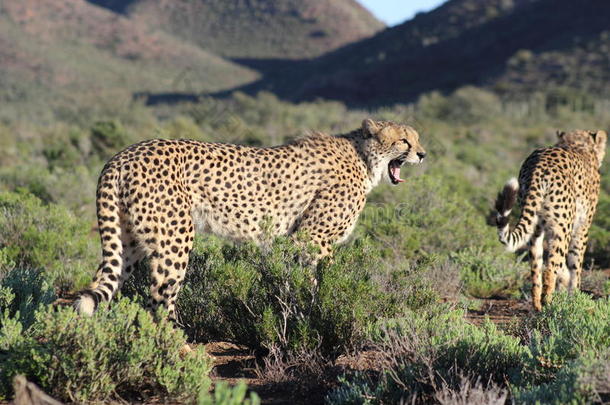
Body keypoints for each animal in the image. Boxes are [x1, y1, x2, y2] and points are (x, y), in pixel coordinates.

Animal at [73, 118, 426, 320]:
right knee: (160, 295)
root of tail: (123, 154)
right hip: (174, 237)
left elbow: (297, 283)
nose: (422, 154)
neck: (364, 158)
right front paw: (325, 312)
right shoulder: (312, 237)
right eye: (404, 140)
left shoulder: (295, 240)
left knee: (101, 282)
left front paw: (300, 314)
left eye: (417, 139)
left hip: (128, 239)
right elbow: (324, 282)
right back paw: (180, 348)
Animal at [494, 129, 604, 310]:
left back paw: (537, 305)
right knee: (549, 269)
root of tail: (539, 165)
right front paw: (574, 297)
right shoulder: (581, 229)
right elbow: (576, 264)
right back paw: (549, 304)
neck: (576, 144)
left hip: (536, 227)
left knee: (536, 268)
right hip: (563, 228)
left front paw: (565, 284)